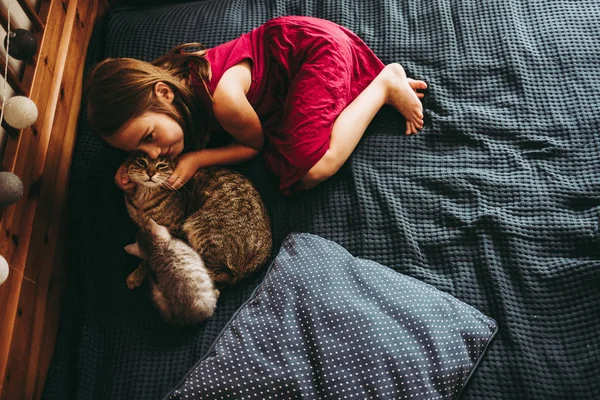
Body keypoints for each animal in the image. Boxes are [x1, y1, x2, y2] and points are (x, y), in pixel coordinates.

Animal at [125, 152, 274, 290]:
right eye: (141, 162)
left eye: (161, 165)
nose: (150, 173)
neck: (143, 199)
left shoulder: (171, 231)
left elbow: (147, 259)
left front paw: (136, 276)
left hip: (202, 229)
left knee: (222, 275)